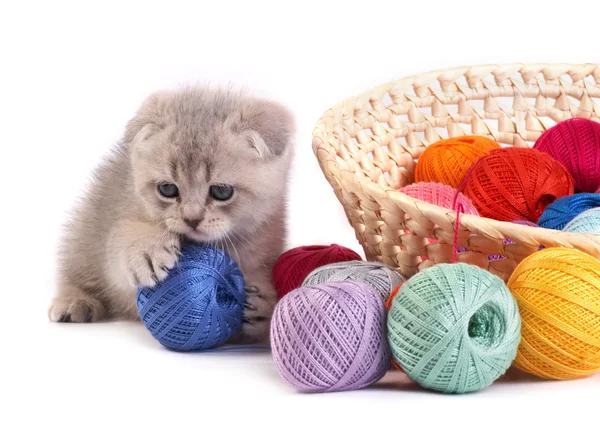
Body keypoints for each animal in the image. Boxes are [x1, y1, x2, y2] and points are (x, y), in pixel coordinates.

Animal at [49, 86, 296, 344]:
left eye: (222, 191)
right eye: (167, 189)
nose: (192, 219)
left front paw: (263, 303)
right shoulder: (121, 225)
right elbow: (123, 245)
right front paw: (146, 251)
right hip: (86, 229)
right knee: (75, 270)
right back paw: (74, 301)